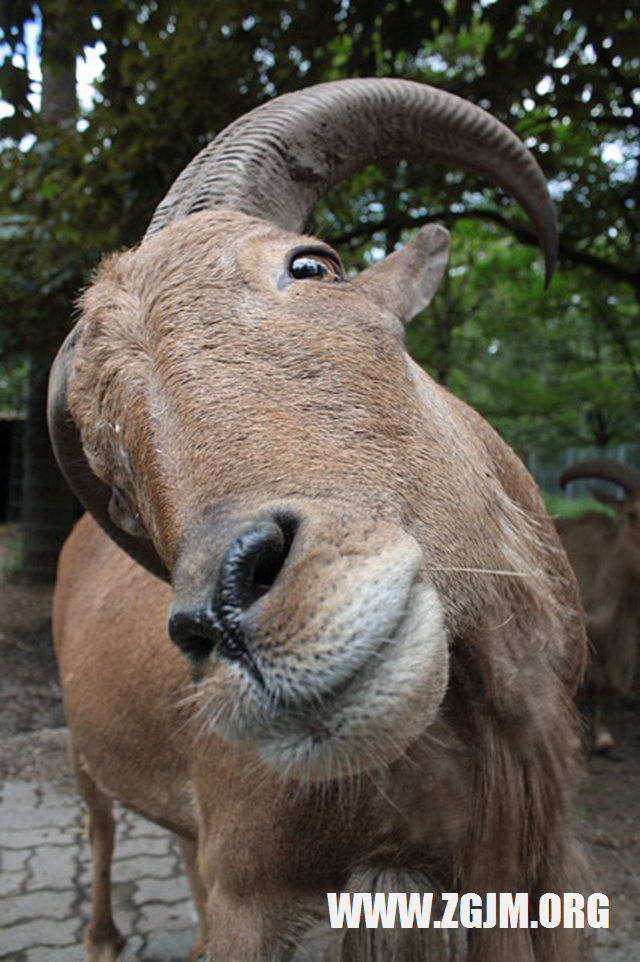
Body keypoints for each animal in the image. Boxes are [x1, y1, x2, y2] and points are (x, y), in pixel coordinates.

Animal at [48, 77, 592, 960]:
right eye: (112, 469)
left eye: (313, 265)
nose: (229, 611)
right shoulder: (254, 893)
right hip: (81, 746)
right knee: (98, 827)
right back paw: (100, 934)